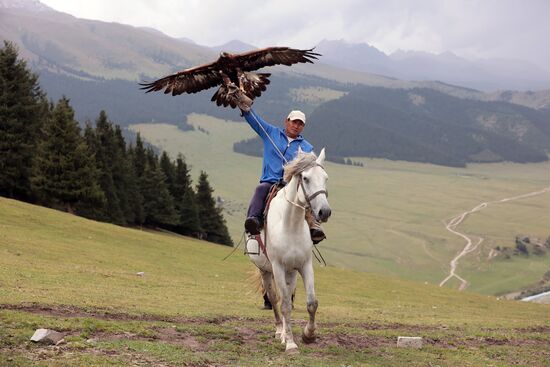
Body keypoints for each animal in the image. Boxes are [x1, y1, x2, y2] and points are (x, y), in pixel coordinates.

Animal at [249, 148, 332, 356]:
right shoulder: (277, 267)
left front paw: (308, 335)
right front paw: (291, 344)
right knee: (274, 299)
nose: (324, 212)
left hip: (291, 273)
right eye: (306, 178)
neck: (291, 225)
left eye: (325, 178)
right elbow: (284, 305)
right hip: (266, 271)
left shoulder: (305, 265)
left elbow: (311, 303)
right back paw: (281, 332)